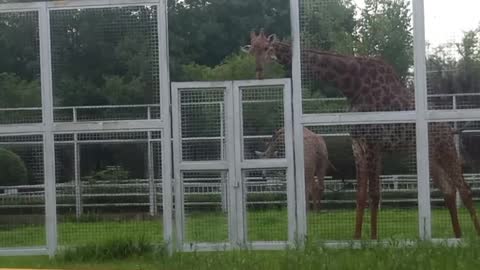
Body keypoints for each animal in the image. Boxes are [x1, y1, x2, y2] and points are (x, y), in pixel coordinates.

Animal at [244, 30, 480, 239]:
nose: (258, 72)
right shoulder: (357, 142)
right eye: (251, 50)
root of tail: (449, 128)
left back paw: (472, 236)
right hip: (430, 158)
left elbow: (374, 194)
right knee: (449, 191)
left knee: (465, 190)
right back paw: (458, 235)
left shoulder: (374, 141)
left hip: (445, 149)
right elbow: (361, 195)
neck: (352, 87)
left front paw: (374, 239)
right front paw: (357, 238)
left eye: (267, 48)